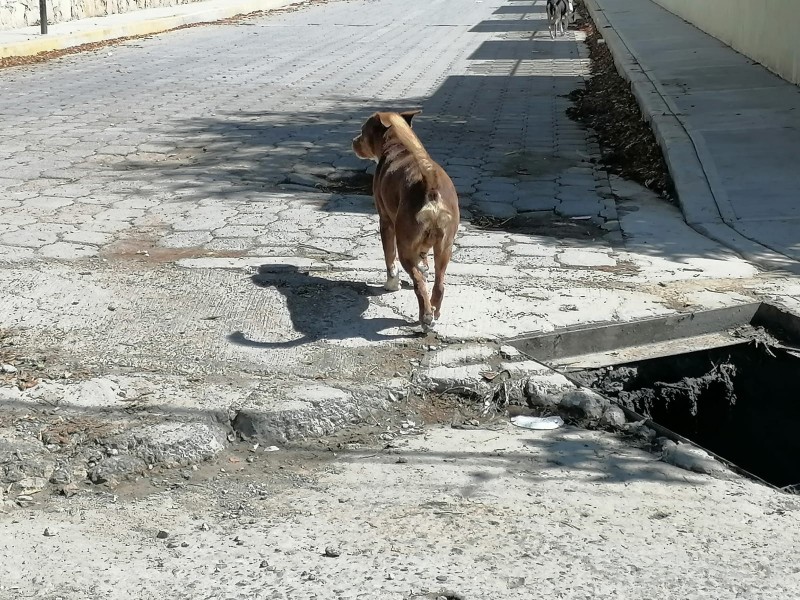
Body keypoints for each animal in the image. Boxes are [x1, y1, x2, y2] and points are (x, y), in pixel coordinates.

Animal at [354, 111, 460, 328]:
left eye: (362, 131)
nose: (353, 141)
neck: (399, 144)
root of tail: (430, 185)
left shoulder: (385, 222)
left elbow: (389, 258)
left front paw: (391, 284)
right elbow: (423, 262)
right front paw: (423, 266)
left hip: (404, 246)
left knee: (418, 284)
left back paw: (425, 316)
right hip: (445, 247)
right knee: (439, 283)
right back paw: (434, 310)